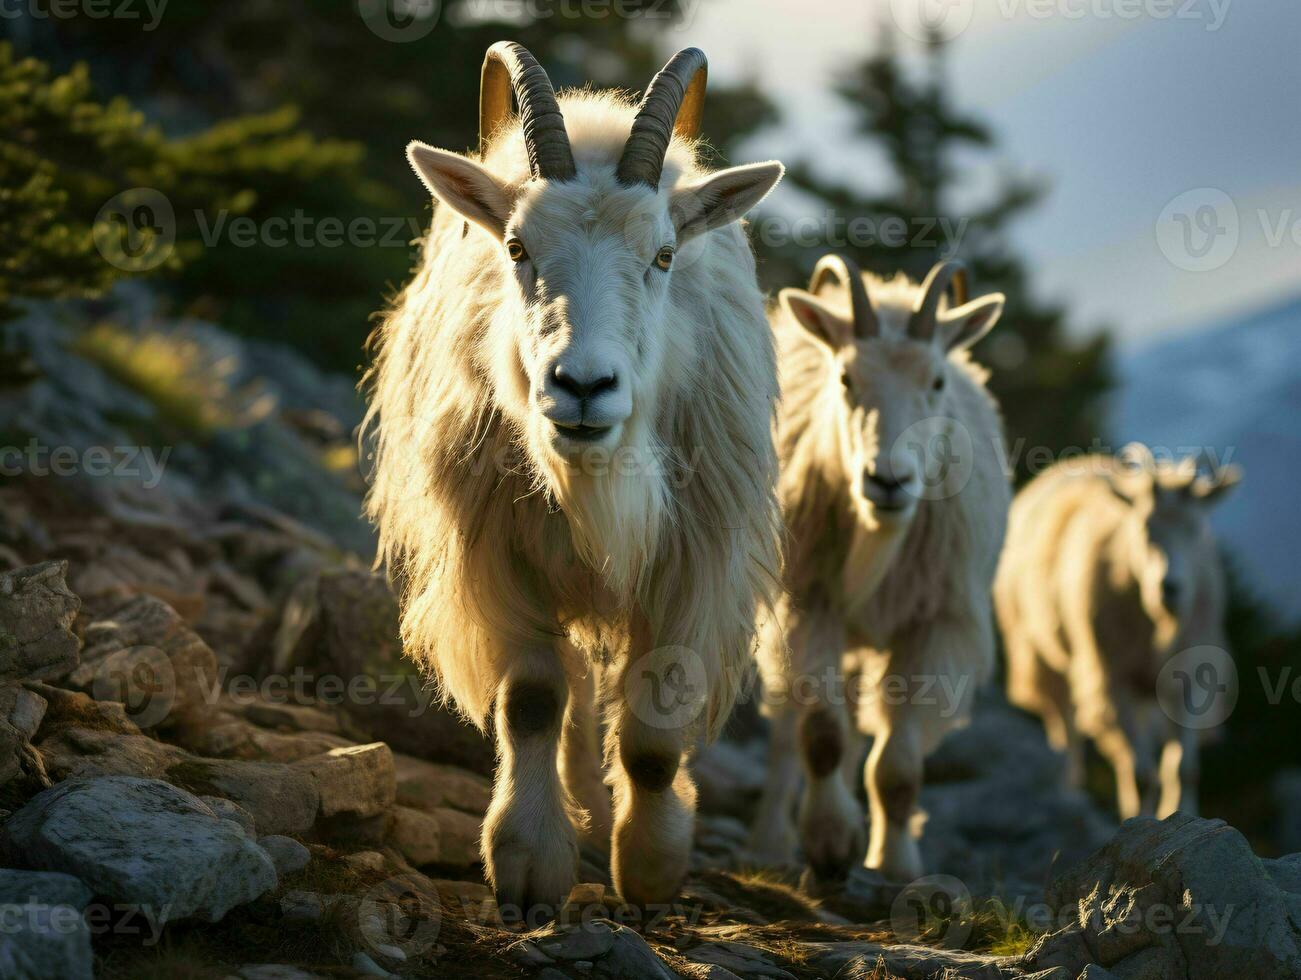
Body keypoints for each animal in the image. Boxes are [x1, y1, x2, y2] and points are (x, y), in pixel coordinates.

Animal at [364, 41, 780, 916]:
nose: (582, 387)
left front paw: (651, 867)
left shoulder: (695, 560)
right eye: (517, 248)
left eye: (663, 254)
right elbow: (532, 700)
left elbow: (656, 728)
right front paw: (527, 863)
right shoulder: (498, 552)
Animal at [749, 252, 1009, 879]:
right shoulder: (807, 604)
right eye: (846, 379)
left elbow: (897, 767)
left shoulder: (937, 626)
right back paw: (771, 843)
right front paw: (829, 841)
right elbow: (821, 736)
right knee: (789, 730)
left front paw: (894, 864)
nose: (888, 481)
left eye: (936, 382)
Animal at [993, 442, 1238, 817]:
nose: (1170, 588)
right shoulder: (1112, 676)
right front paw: (1141, 821)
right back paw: (1069, 790)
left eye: (1196, 529)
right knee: (1065, 726)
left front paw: (1181, 814)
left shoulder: (1190, 677)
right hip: (1038, 651)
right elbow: (1141, 774)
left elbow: (1184, 769)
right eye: (1145, 527)